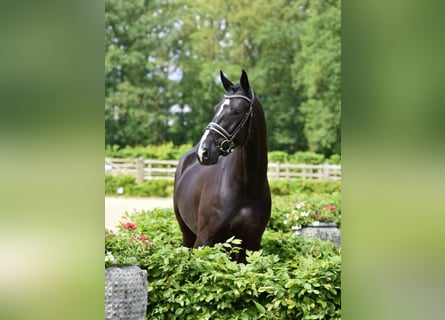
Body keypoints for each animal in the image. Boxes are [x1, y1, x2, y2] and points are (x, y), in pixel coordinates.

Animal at [173, 70, 270, 262]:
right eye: (215, 109)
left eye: (236, 111)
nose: (204, 151)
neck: (246, 186)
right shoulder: (204, 240)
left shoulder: (251, 244)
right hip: (187, 233)